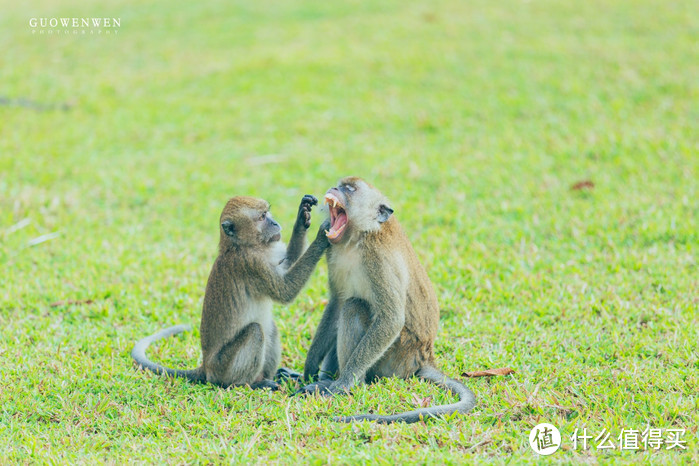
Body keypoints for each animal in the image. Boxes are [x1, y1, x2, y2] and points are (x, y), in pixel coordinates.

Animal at [132, 195, 330, 392]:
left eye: (267, 213)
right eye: (262, 217)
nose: (275, 223)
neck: (238, 246)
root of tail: (206, 367)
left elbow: (288, 261)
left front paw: (303, 216)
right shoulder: (251, 263)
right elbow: (286, 291)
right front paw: (321, 238)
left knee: (269, 327)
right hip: (223, 367)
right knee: (255, 331)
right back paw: (250, 383)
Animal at [298, 177, 478, 422]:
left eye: (349, 189)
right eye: (338, 184)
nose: (333, 189)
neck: (357, 238)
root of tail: (424, 357)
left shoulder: (378, 259)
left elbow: (391, 319)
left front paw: (344, 383)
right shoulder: (332, 251)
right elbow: (336, 303)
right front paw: (310, 367)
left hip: (396, 358)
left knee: (354, 306)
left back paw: (348, 384)